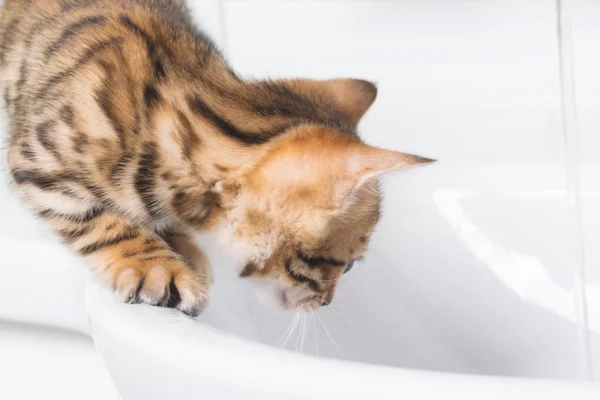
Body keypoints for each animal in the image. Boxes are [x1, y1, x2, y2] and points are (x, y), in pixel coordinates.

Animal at [0, 0, 432, 318]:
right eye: (350, 263)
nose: (326, 302)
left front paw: (184, 249)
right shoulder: (37, 163)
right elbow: (103, 223)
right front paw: (157, 267)